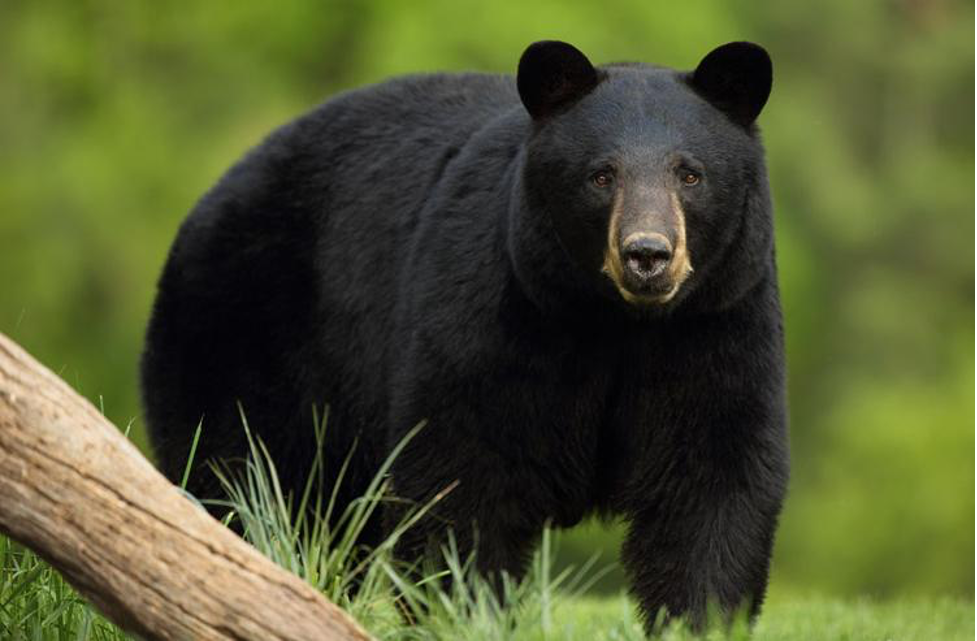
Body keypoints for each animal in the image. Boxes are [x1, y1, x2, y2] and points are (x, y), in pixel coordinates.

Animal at [140, 40, 789, 633]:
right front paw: (468, 613)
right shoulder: (492, 318)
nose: (648, 255)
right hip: (244, 334)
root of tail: (205, 203)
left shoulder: (718, 325)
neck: (614, 323)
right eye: (601, 175)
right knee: (246, 480)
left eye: (691, 174)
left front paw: (701, 619)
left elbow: (711, 485)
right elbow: (463, 474)